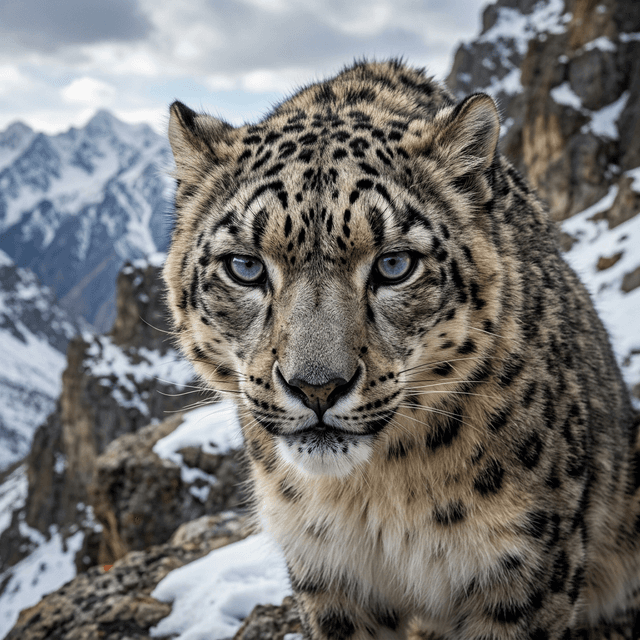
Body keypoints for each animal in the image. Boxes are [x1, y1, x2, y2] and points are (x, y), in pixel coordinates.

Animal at [162, 59, 640, 639]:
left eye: (394, 264)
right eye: (245, 266)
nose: (316, 387)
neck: (374, 494)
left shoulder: (523, 571)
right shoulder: (327, 575)